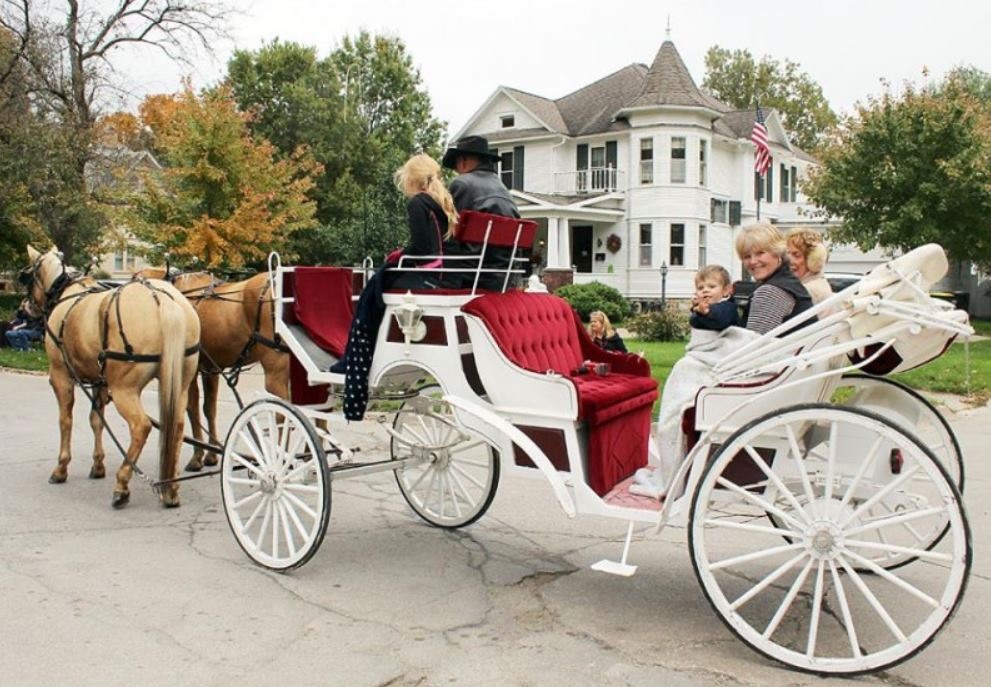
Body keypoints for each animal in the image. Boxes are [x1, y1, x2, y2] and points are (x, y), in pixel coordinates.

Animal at [23, 246, 200, 506]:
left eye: (29, 275)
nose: (24, 306)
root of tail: (163, 300)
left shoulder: (60, 376)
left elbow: (66, 421)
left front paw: (61, 468)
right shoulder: (99, 380)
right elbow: (96, 420)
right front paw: (98, 465)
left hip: (124, 389)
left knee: (141, 426)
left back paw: (122, 484)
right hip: (180, 384)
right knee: (176, 427)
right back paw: (171, 488)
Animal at [138, 268, 290, 472]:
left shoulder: (192, 370)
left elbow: (192, 408)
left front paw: (198, 456)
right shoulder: (211, 369)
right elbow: (209, 408)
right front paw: (212, 453)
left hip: (276, 370)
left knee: (284, 415)